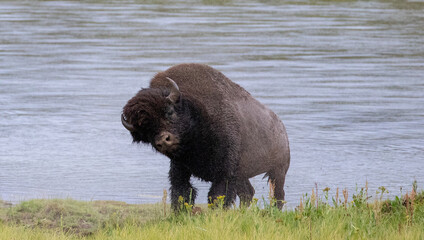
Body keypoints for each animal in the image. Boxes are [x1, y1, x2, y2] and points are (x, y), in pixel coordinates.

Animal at [121, 63, 290, 210]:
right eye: (145, 131)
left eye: (169, 112)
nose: (163, 141)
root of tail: (280, 126)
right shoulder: (180, 167)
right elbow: (182, 192)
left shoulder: (225, 171)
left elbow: (217, 195)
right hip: (245, 175)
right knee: (247, 193)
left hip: (278, 169)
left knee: (278, 195)